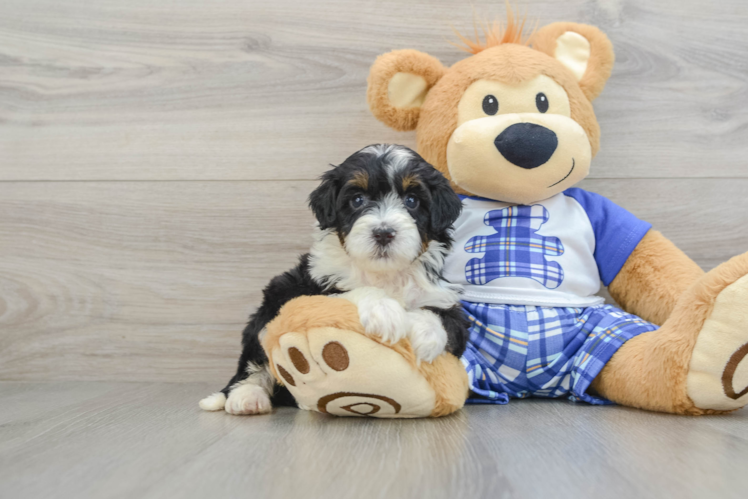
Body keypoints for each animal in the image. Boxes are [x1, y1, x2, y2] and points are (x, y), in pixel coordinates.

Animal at [199, 144, 468, 414]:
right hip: (265, 315)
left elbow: (444, 318)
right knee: (253, 363)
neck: (384, 274)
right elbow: (347, 293)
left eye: (412, 201)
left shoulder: (445, 301)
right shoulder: (302, 290)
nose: (383, 233)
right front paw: (383, 311)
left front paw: (425, 336)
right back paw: (247, 396)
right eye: (357, 200)